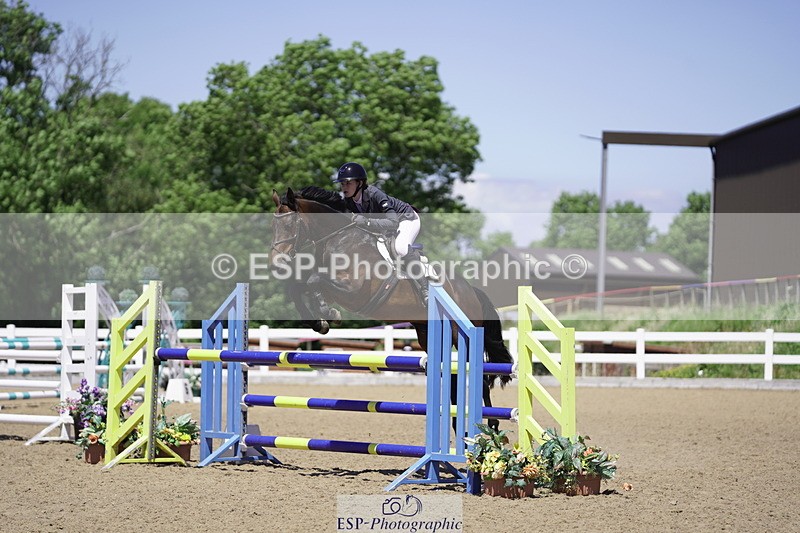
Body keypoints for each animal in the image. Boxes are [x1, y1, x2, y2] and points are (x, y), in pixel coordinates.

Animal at [269, 188, 514, 431]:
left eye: (290, 224)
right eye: (274, 225)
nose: (276, 264)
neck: (340, 240)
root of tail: (470, 289)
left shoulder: (354, 292)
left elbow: (314, 280)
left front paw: (329, 314)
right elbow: (299, 287)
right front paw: (319, 322)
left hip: (459, 332)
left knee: (481, 376)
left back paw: (490, 426)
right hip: (428, 333)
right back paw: (458, 426)